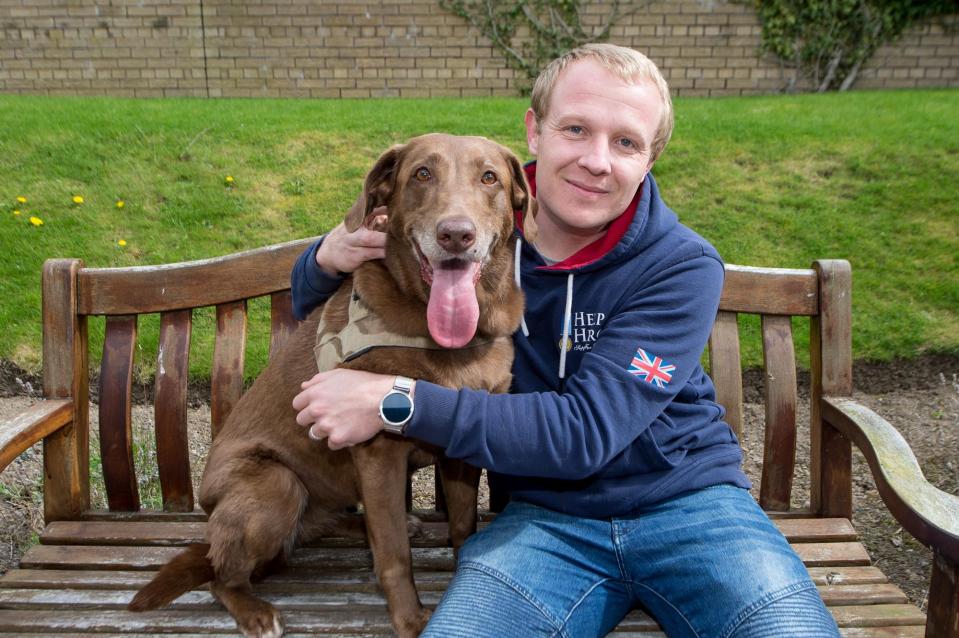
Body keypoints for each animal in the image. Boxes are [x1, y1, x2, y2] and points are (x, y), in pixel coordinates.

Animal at [127, 132, 536, 636]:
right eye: (422, 173)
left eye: (489, 177)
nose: (456, 235)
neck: (449, 338)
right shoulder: (379, 452)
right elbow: (394, 555)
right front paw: (409, 619)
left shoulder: (461, 447)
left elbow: (463, 526)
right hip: (276, 484)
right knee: (223, 575)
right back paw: (255, 610)